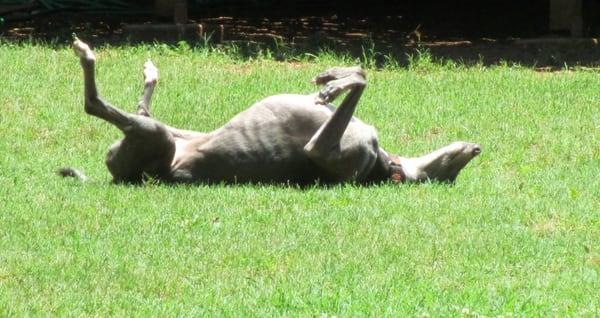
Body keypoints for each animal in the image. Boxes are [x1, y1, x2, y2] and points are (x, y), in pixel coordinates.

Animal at [61, 38, 480, 185]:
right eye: (453, 166)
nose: (476, 149)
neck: (382, 161)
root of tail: (119, 176)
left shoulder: (325, 152)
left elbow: (360, 79)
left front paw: (334, 83)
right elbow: (361, 72)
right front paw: (335, 77)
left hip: (157, 140)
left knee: (96, 105)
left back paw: (87, 54)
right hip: (177, 132)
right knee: (142, 109)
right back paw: (150, 73)